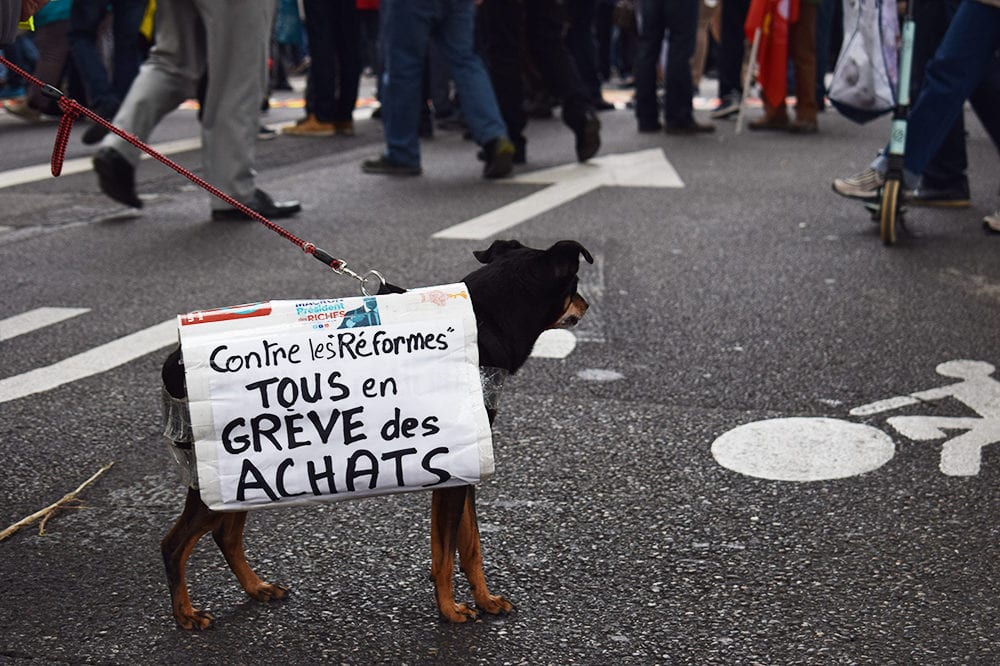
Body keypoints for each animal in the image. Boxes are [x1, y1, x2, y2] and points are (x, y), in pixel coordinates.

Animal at [159, 239, 588, 628]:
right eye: (576, 282)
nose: (585, 305)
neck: (484, 321)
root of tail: (172, 363)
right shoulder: (454, 470)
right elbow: (450, 552)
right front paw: (451, 611)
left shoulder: (459, 470)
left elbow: (466, 547)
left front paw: (483, 600)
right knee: (173, 545)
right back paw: (185, 615)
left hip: (242, 476)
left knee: (226, 536)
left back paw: (256, 588)